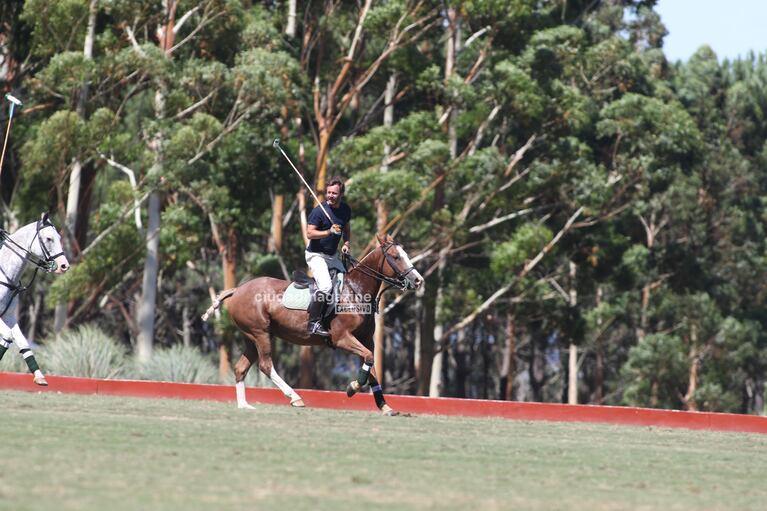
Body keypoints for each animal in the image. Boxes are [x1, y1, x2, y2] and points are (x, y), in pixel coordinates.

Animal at [0, 214, 69, 386]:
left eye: (59, 237)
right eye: (49, 238)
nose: (64, 265)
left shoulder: (9, 316)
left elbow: (22, 342)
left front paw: (39, 377)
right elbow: (8, 337)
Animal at [201, 236, 424, 416]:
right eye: (396, 257)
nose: (418, 280)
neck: (356, 292)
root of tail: (238, 289)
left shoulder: (366, 340)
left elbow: (371, 367)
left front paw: (385, 406)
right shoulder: (342, 338)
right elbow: (368, 360)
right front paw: (352, 387)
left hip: (252, 337)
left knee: (240, 369)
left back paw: (244, 405)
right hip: (260, 333)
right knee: (265, 365)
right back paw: (295, 397)